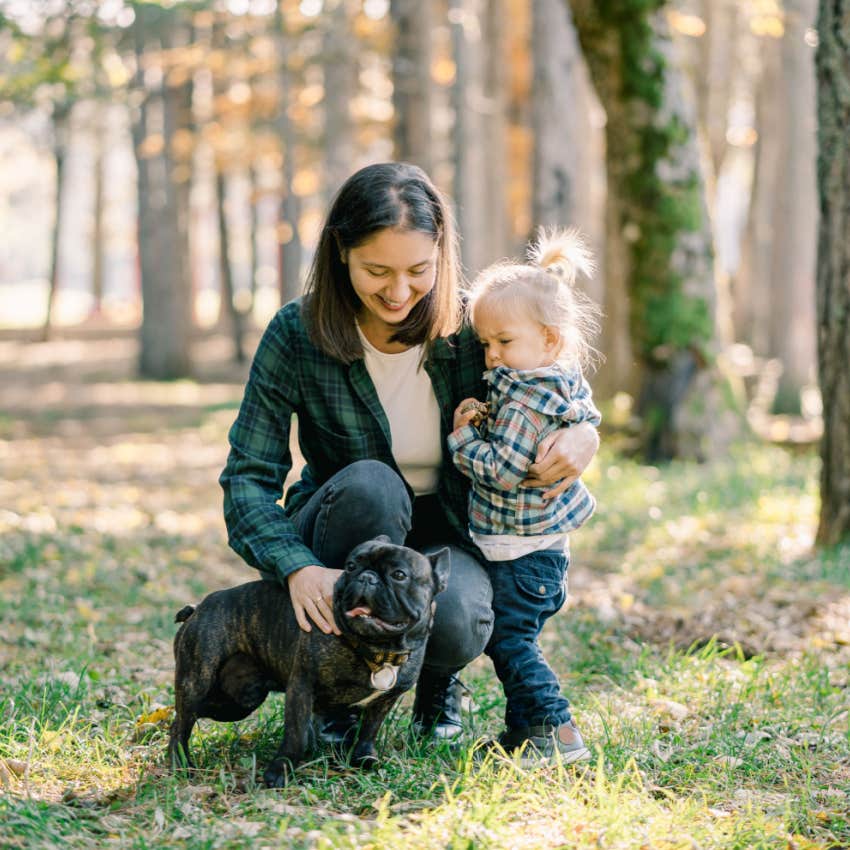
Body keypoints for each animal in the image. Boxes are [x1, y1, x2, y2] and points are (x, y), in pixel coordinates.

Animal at [168, 532, 454, 784]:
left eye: (399, 575)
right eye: (350, 566)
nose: (366, 577)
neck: (373, 648)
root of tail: (197, 608)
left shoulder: (384, 701)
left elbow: (369, 731)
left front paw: (363, 758)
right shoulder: (302, 687)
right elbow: (296, 736)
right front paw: (279, 772)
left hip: (239, 701)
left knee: (190, 715)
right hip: (197, 681)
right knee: (182, 723)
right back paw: (180, 764)